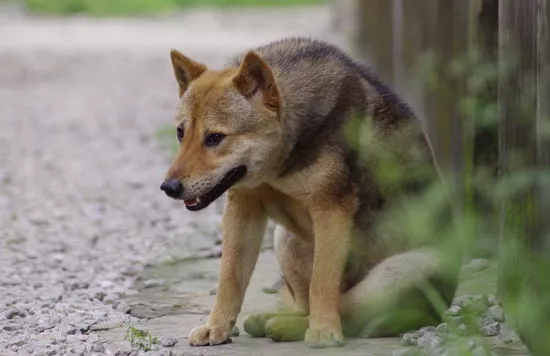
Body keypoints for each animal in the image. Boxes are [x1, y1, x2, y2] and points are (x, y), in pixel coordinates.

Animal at [162, 37, 464, 350]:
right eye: (181, 133)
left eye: (215, 138)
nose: (169, 188)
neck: (279, 164)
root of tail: (437, 311)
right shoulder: (243, 208)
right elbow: (229, 278)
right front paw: (216, 327)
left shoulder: (331, 210)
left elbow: (322, 281)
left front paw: (323, 332)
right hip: (286, 239)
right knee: (308, 304)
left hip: (405, 269)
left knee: (349, 312)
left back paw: (289, 325)